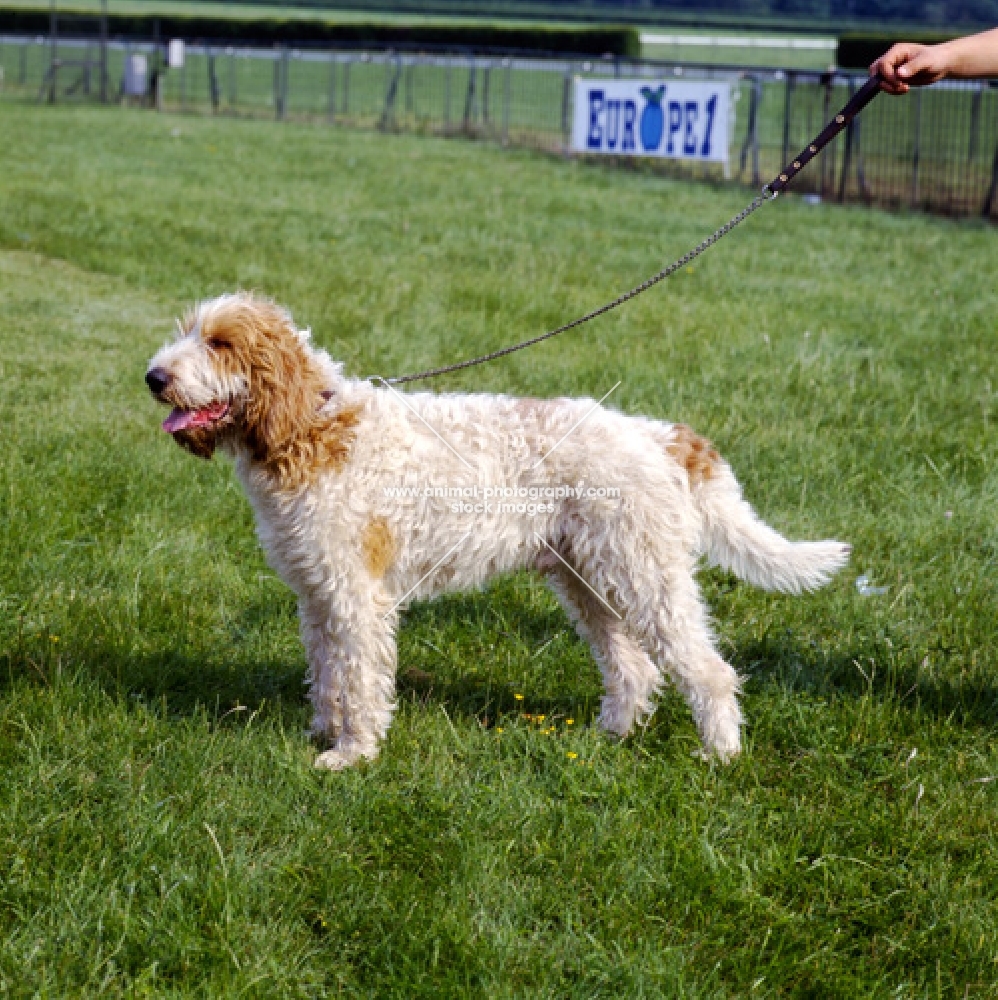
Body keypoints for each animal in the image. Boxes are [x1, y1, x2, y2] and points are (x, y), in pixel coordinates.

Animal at [146, 292, 852, 768]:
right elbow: (327, 674)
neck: (310, 430)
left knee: (707, 670)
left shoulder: (356, 597)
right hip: (588, 579)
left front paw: (353, 754)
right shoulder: (318, 595)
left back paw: (720, 755)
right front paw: (323, 732)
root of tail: (659, 435)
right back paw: (611, 736)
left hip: (645, 575)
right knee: (633, 667)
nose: (154, 377)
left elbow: (360, 679)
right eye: (188, 334)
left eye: (220, 343)